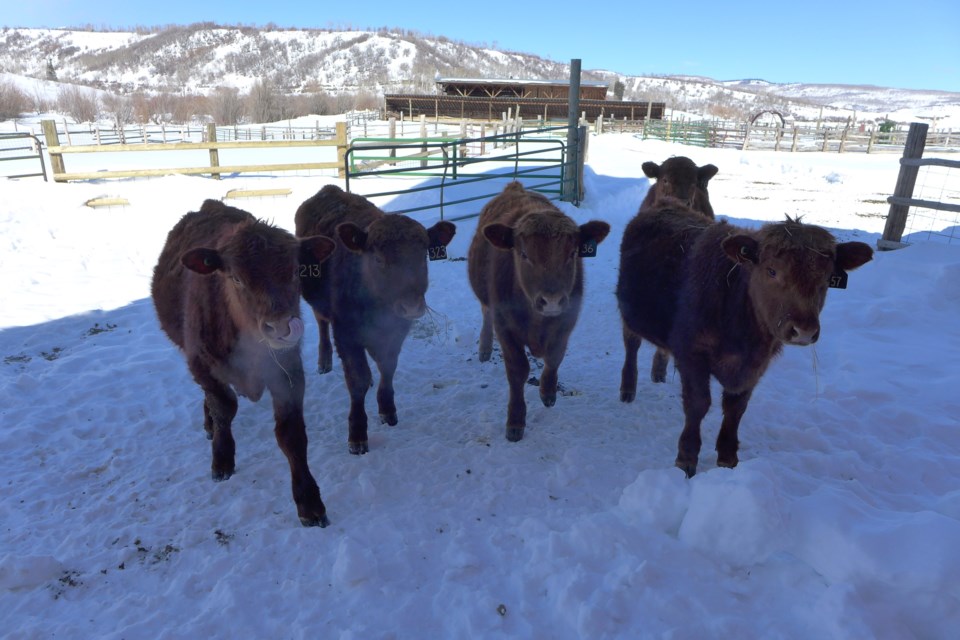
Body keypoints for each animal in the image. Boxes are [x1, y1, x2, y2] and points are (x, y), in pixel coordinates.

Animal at [154, 199, 338, 524]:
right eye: (236, 278)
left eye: (295, 271)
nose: (281, 327)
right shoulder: (201, 364)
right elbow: (223, 408)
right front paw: (222, 459)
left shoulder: (288, 369)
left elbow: (291, 434)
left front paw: (309, 500)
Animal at [294, 184, 456, 456]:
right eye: (379, 259)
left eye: (422, 256)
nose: (411, 306)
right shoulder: (346, 334)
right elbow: (356, 380)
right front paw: (357, 434)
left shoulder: (396, 331)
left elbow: (387, 367)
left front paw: (387, 409)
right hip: (318, 302)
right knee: (321, 323)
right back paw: (324, 361)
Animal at [468, 180, 612, 440]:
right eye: (524, 254)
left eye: (572, 253)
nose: (552, 300)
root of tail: (515, 187)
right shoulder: (505, 327)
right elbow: (518, 370)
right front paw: (515, 421)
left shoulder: (567, 321)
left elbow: (555, 357)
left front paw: (548, 392)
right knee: (485, 312)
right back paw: (484, 348)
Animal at [620, 200, 872, 476]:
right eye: (771, 271)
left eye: (827, 279)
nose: (804, 331)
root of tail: (667, 204)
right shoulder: (691, 353)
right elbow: (698, 403)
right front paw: (686, 458)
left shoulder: (756, 364)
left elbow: (736, 408)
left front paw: (728, 457)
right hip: (628, 315)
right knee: (631, 345)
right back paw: (627, 389)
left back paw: (658, 373)